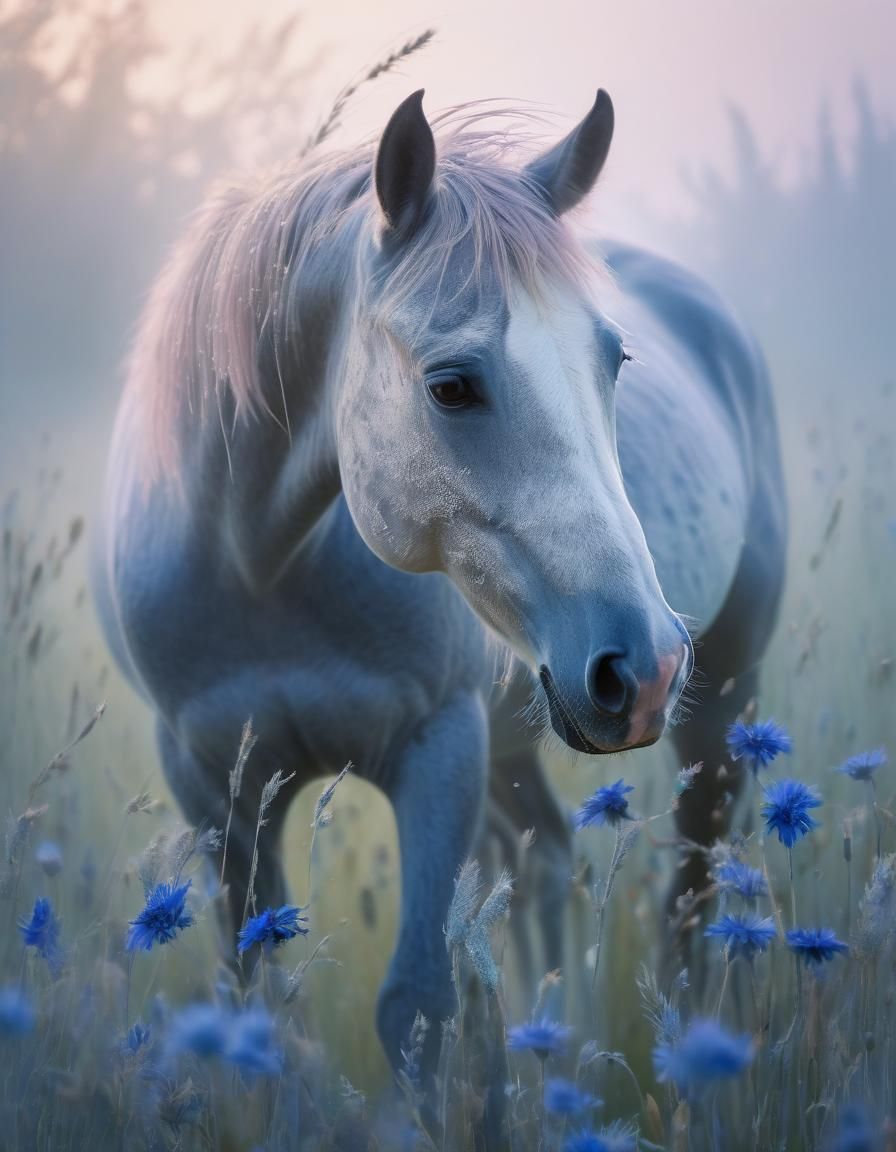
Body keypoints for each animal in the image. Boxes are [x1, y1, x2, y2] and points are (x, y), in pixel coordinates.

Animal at [92, 86, 786, 1095]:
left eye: (614, 361)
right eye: (450, 386)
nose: (647, 665)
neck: (259, 562)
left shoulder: (438, 749)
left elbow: (417, 1006)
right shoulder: (212, 783)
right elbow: (262, 1005)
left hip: (720, 703)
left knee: (688, 894)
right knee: (547, 865)